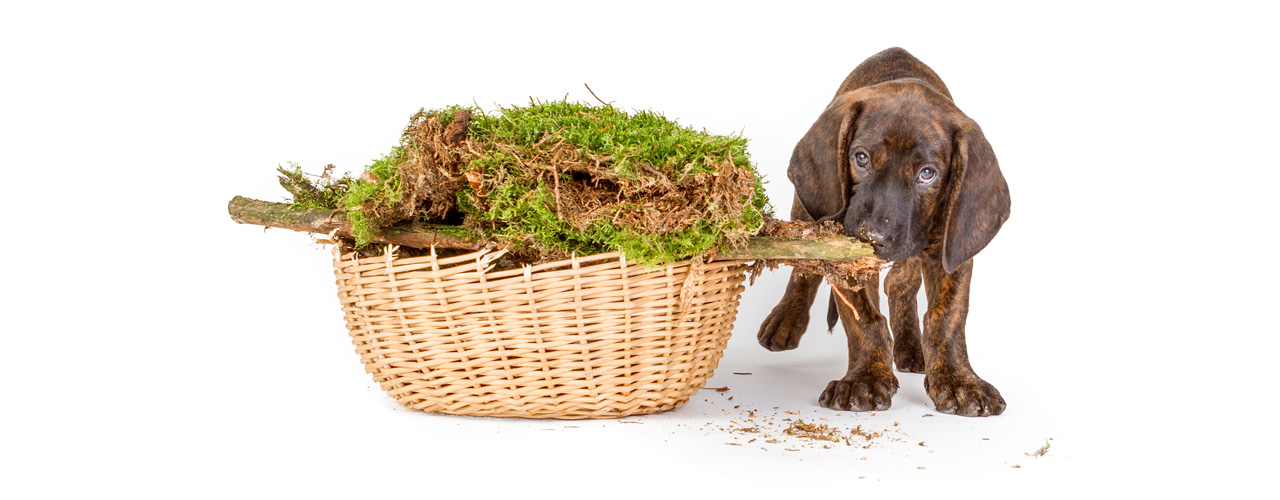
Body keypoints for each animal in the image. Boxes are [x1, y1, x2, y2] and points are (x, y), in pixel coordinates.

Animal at [757, 48, 1008, 419]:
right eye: (861, 158)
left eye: (928, 174)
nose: (874, 236)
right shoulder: (846, 256)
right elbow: (865, 320)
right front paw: (865, 378)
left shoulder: (952, 250)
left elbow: (947, 316)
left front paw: (959, 380)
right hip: (809, 208)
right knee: (804, 269)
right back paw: (786, 319)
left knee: (900, 284)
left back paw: (910, 347)